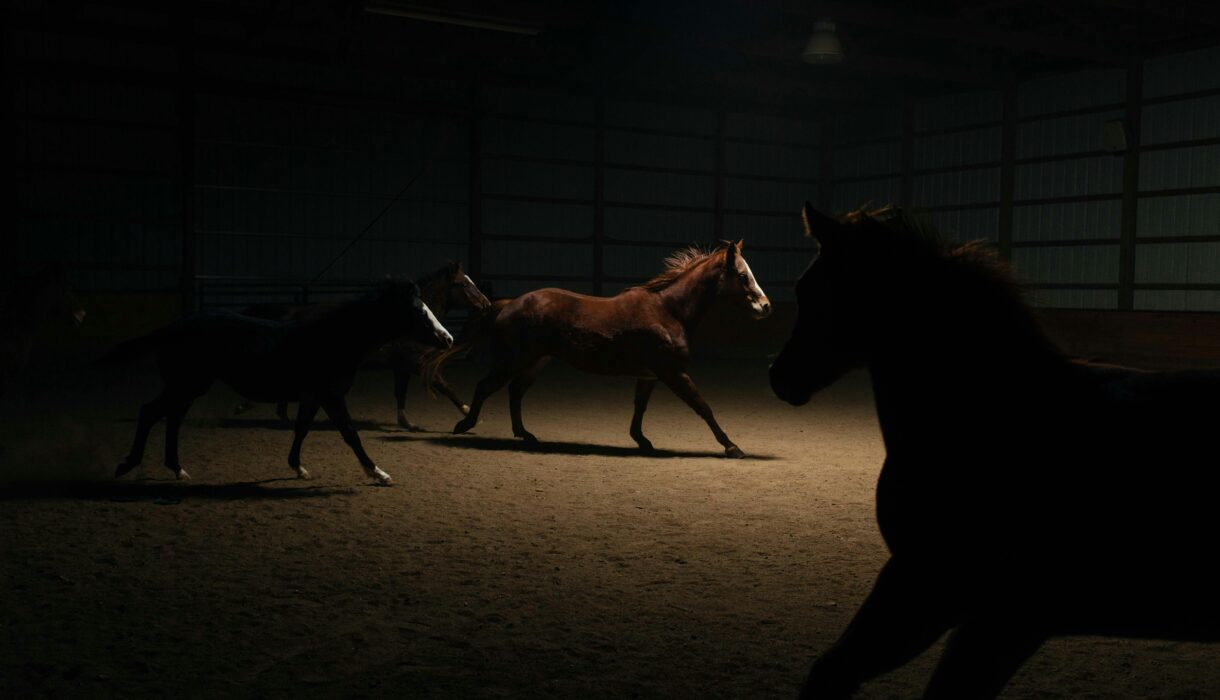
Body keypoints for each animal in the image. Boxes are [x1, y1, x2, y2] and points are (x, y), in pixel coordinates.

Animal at [102, 280, 453, 485]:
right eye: (420, 313)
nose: (447, 339)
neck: (333, 339)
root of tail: (173, 326)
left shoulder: (313, 397)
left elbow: (301, 429)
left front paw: (298, 467)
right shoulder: (331, 396)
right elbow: (350, 434)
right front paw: (378, 473)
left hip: (188, 388)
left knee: (171, 419)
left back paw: (177, 469)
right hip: (185, 385)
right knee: (150, 413)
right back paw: (127, 466)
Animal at [427, 240, 772, 456]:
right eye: (743, 276)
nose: (766, 307)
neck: (668, 310)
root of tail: (508, 303)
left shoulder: (650, 375)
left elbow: (640, 407)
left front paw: (641, 440)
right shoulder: (673, 373)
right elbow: (702, 406)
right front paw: (731, 446)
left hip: (536, 361)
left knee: (515, 391)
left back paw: (525, 434)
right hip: (511, 359)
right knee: (486, 386)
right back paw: (465, 424)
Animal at [769, 202, 1220, 698]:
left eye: (814, 289)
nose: (780, 377)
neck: (999, 411)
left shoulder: (944, 595)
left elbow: (836, 672)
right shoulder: (984, 614)